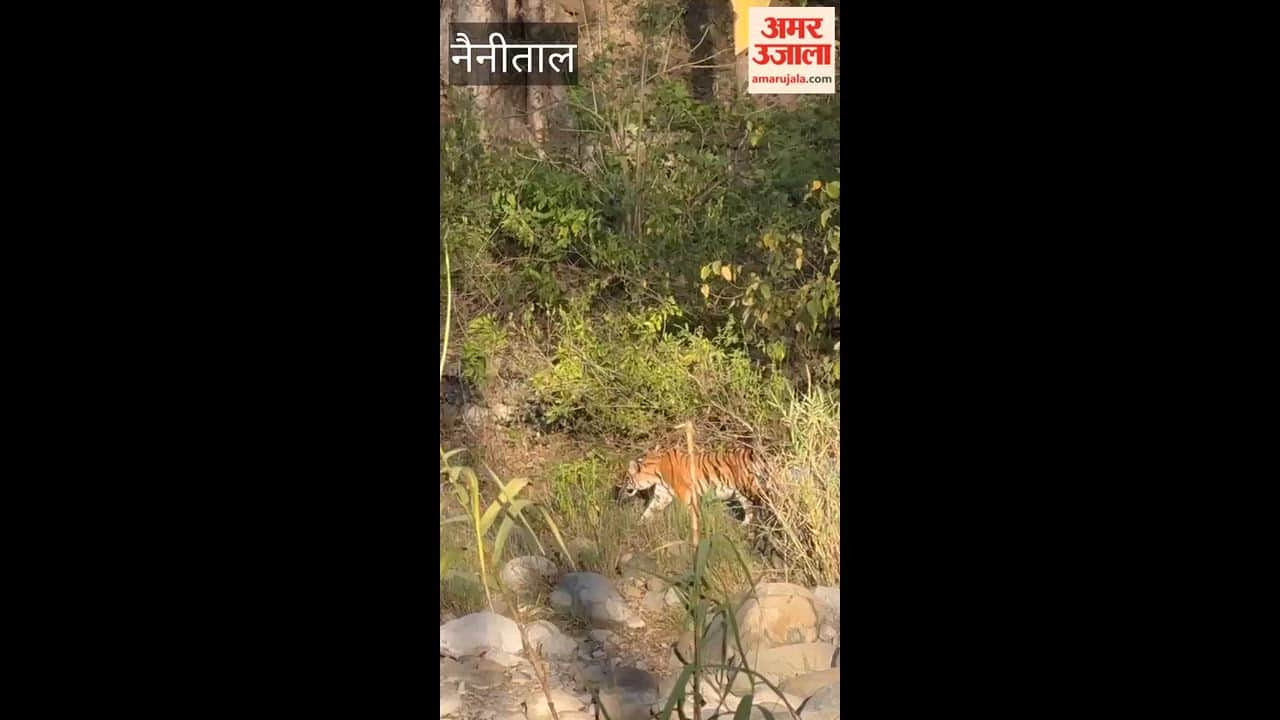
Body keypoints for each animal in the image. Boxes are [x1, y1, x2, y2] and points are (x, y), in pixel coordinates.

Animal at [618, 446, 769, 525]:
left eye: (626, 478)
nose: (620, 490)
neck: (655, 474)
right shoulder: (662, 496)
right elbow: (649, 511)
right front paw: (638, 526)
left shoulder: (685, 494)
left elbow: (689, 512)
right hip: (741, 493)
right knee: (749, 510)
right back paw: (743, 526)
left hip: (751, 487)